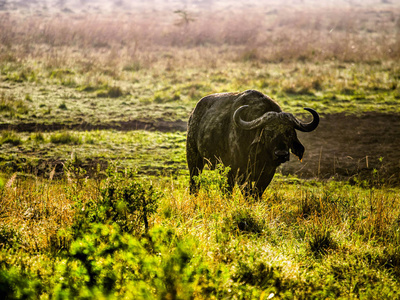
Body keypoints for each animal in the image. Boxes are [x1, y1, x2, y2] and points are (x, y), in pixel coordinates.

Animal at [186, 89, 320, 197]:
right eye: (268, 133)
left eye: (290, 133)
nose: (281, 154)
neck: (259, 156)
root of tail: (193, 114)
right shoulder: (240, 172)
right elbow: (247, 193)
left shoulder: (268, 172)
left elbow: (257, 192)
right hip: (194, 158)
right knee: (195, 183)